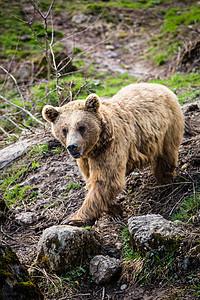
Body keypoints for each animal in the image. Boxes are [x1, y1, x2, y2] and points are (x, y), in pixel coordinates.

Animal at [42, 83, 184, 226]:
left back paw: (165, 183)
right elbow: (94, 182)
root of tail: (159, 85)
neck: (97, 144)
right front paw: (115, 211)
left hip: (168, 128)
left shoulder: (110, 148)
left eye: (81, 126)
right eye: (64, 129)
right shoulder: (86, 160)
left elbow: (106, 180)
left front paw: (75, 219)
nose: (72, 147)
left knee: (166, 157)